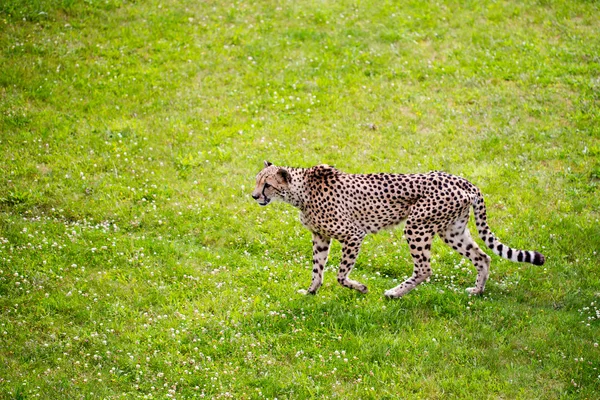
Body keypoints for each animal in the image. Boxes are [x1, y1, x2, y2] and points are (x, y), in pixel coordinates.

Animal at [251, 162, 548, 296]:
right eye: (257, 181)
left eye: (267, 185)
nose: (254, 196)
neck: (301, 192)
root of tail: (462, 179)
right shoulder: (321, 237)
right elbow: (318, 269)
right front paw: (311, 291)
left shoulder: (353, 235)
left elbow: (340, 274)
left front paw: (359, 287)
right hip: (451, 230)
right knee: (483, 256)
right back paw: (477, 291)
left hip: (416, 226)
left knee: (425, 269)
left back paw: (395, 292)